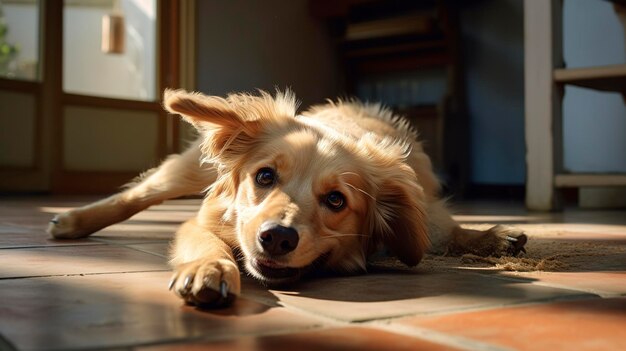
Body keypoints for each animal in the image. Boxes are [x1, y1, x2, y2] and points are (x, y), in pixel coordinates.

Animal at [50, 88, 528, 308]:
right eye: (264, 176)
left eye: (336, 201)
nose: (277, 238)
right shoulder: (205, 219)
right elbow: (206, 244)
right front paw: (208, 269)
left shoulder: (420, 204)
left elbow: (446, 232)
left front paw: (489, 238)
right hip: (187, 170)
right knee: (137, 194)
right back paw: (72, 221)